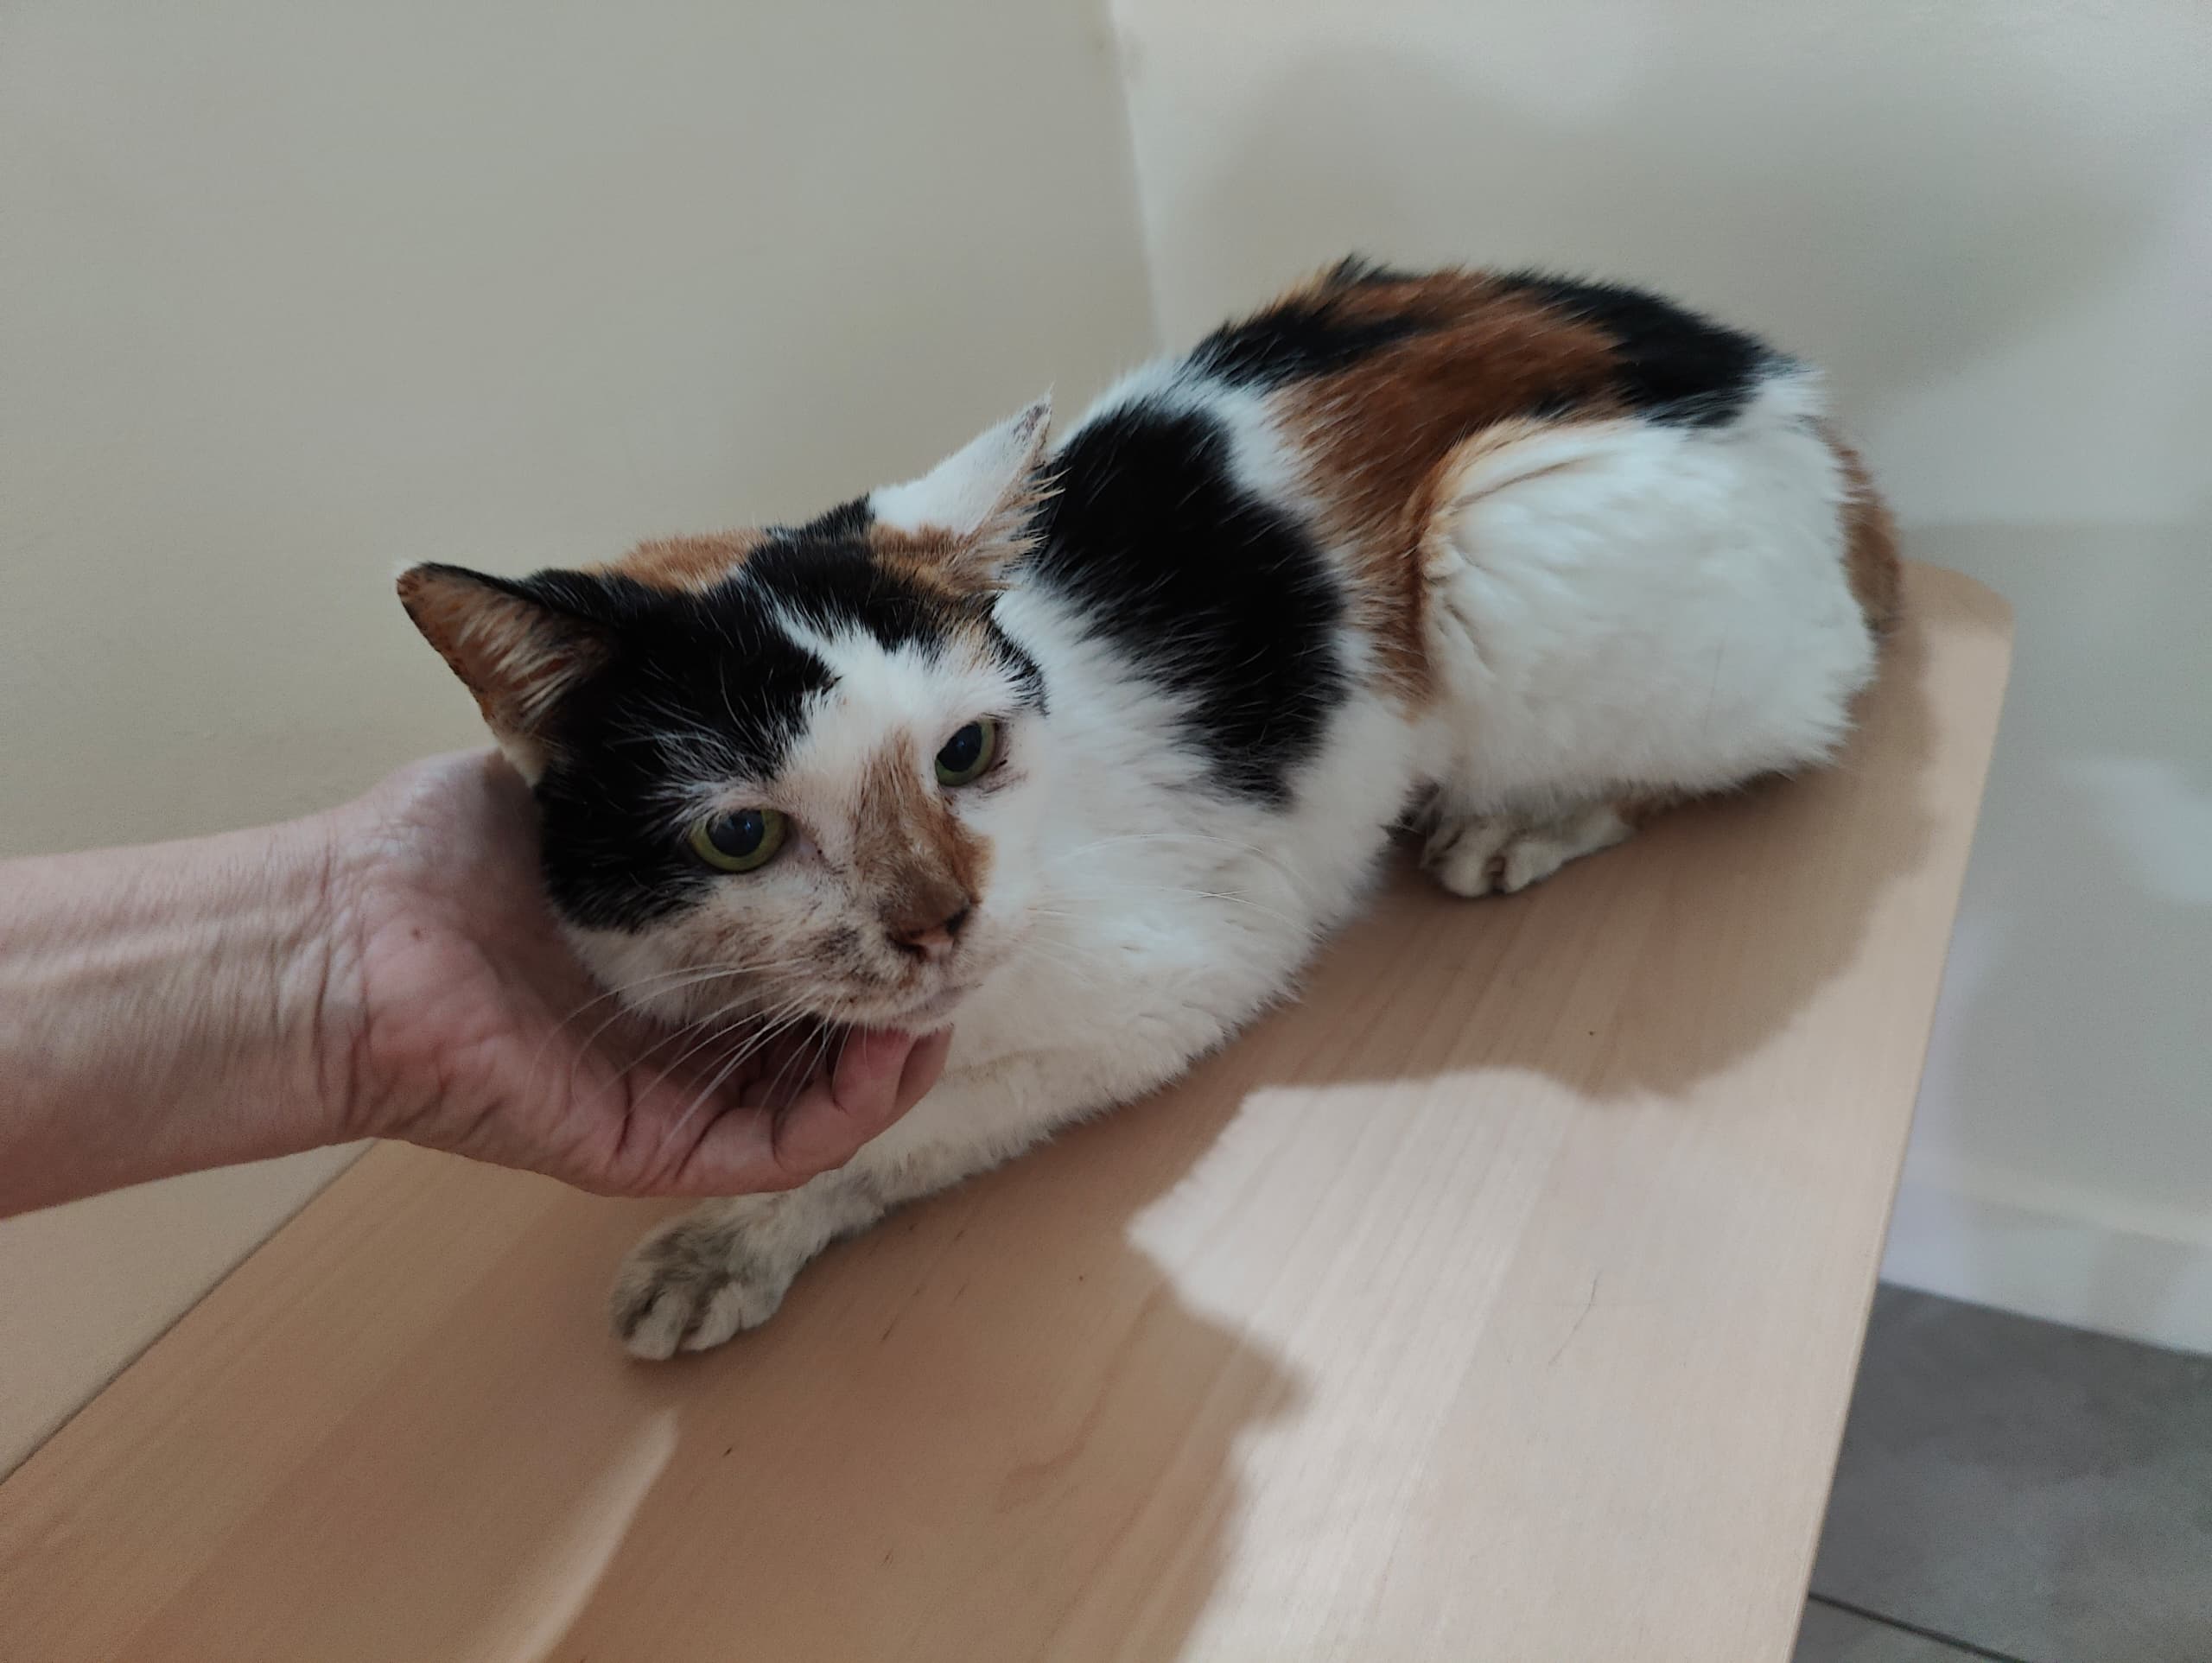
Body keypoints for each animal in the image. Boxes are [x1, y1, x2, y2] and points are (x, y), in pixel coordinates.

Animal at [399, 259, 1899, 1359]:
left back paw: (1522, 820)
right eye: (739, 834)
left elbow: (892, 1138)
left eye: (965, 752)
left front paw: (730, 1236)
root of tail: (1803, 412)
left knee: (1781, 721)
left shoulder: (1167, 986)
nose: (940, 920)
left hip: (1507, 532)